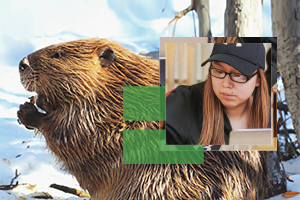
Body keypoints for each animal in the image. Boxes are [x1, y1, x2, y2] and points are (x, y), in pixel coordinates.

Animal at [18, 38, 272, 199]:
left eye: (58, 54)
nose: (22, 64)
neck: (120, 89)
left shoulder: (106, 119)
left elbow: (76, 136)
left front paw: (27, 111)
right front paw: (32, 103)